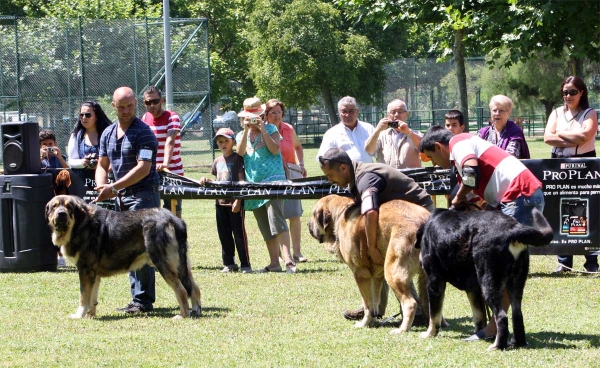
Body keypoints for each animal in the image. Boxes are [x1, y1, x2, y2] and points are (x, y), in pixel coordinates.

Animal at [47, 196, 202, 320]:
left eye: (69, 207)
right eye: (54, 206)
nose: (61, 214)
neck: (80, 224)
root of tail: (174, 220)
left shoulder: (85, 270)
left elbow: (84, 297)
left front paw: (79, 315)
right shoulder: (93, 274)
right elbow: (92, 297)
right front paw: (90, 315)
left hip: (164, 263)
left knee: (181, 290)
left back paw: (183, 315)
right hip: (182, 264)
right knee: (194, 287)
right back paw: (196, 311)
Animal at [310, 194, 432, 332]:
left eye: (313, 215)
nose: (308, 225)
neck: (339, 215)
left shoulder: (361, 273)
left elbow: (367, 303)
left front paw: (364, 323)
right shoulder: (377, 276)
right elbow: (375, 301)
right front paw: (372, 321)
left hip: (393, 273)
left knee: (410, 303)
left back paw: (402, 329)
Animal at [418, 208, 552, 350]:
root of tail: (513, 228)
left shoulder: (434, 281)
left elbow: (434, 315)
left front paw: (429, 333)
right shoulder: (473, 288)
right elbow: (479, 315)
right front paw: (478, 334)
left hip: (489, 283)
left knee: (501, 316)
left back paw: (497, 346)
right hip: (515, 283)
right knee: (517, 314)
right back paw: (517, 342)